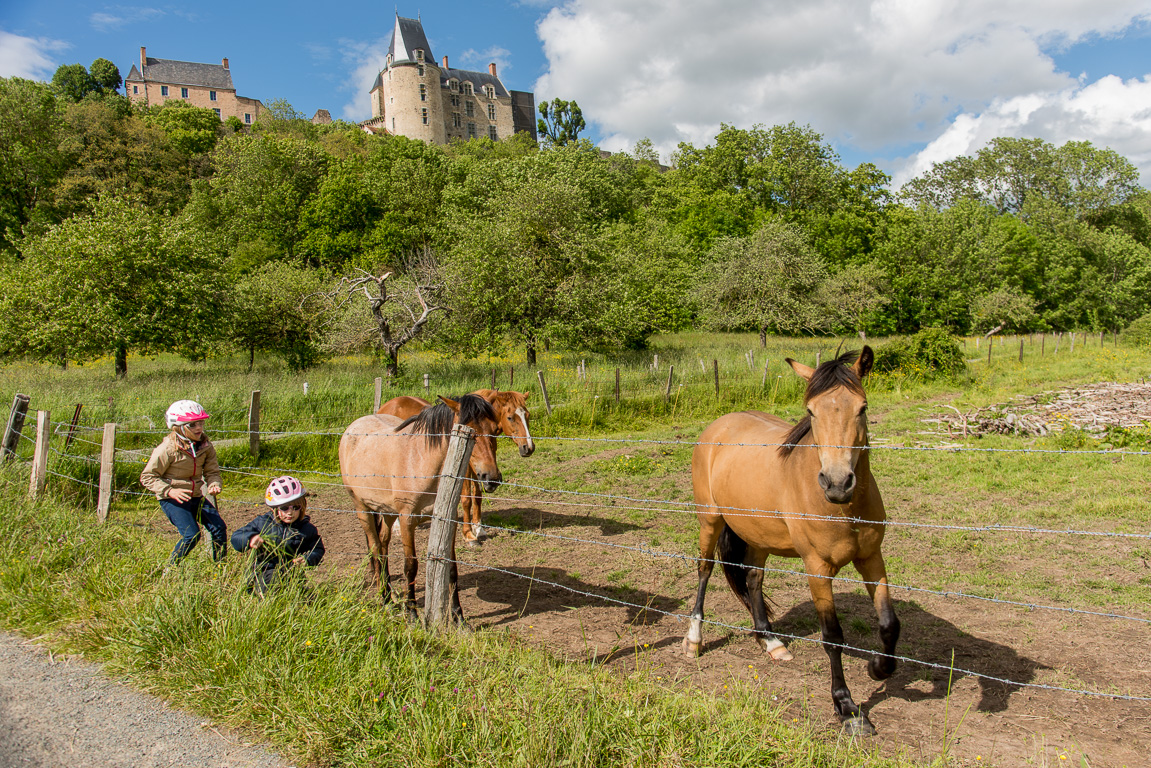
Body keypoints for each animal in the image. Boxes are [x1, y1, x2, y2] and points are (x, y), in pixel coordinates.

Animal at [338, 393, 506, 621]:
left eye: (495, 430)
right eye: (467, 431)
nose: (492, 478)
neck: (421, 462)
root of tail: (353, 427)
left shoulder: (447, 520)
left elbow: (451, 567)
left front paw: (458, 616)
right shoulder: (407, 521)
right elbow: (411, 566)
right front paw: (411, 613)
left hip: (387, 511)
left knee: (383, 543)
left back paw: (389, 593)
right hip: (362, 508)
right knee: (375, 548)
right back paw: (385, 599)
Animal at [379, 386, 536, 543]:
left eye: (527, 415)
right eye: (510, 417)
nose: (528, 447)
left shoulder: (480, 468)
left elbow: (477, 495)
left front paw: (479, 529)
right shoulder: (465, 469)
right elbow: (466, 499)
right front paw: (468, 534)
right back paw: (397, 526)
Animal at [681, 345, 897, 736]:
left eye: (862, 407)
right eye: (811, 411)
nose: (837, 482)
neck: (843, 508)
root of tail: (719, 425)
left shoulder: (872, 558)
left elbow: (889, 624)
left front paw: (878, 668)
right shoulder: (817, 568)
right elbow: (832, 636)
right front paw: (847, 708)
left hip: (758, 535)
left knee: (753, 579)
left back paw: (770, 641)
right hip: (710, 520)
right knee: (704, 569)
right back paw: (694, 640)